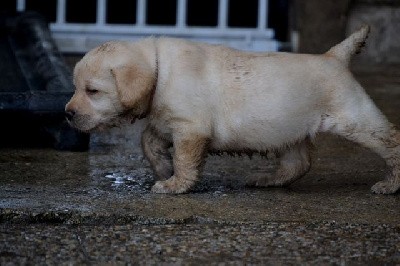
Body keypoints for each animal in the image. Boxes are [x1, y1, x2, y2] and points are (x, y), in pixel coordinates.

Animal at [65, 25, 400, 193]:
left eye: (92, 91)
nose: (68, 113)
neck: (160, 70)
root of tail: (334, 57)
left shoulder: (190, 128)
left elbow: (184, 159)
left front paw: (175, 184)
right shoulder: (166, 120)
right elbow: (148, 140)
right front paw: (162, 167)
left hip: (355, 118)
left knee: (392, 142)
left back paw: (390, 185)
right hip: (289, 129)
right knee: (298, 163)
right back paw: (268, 180)